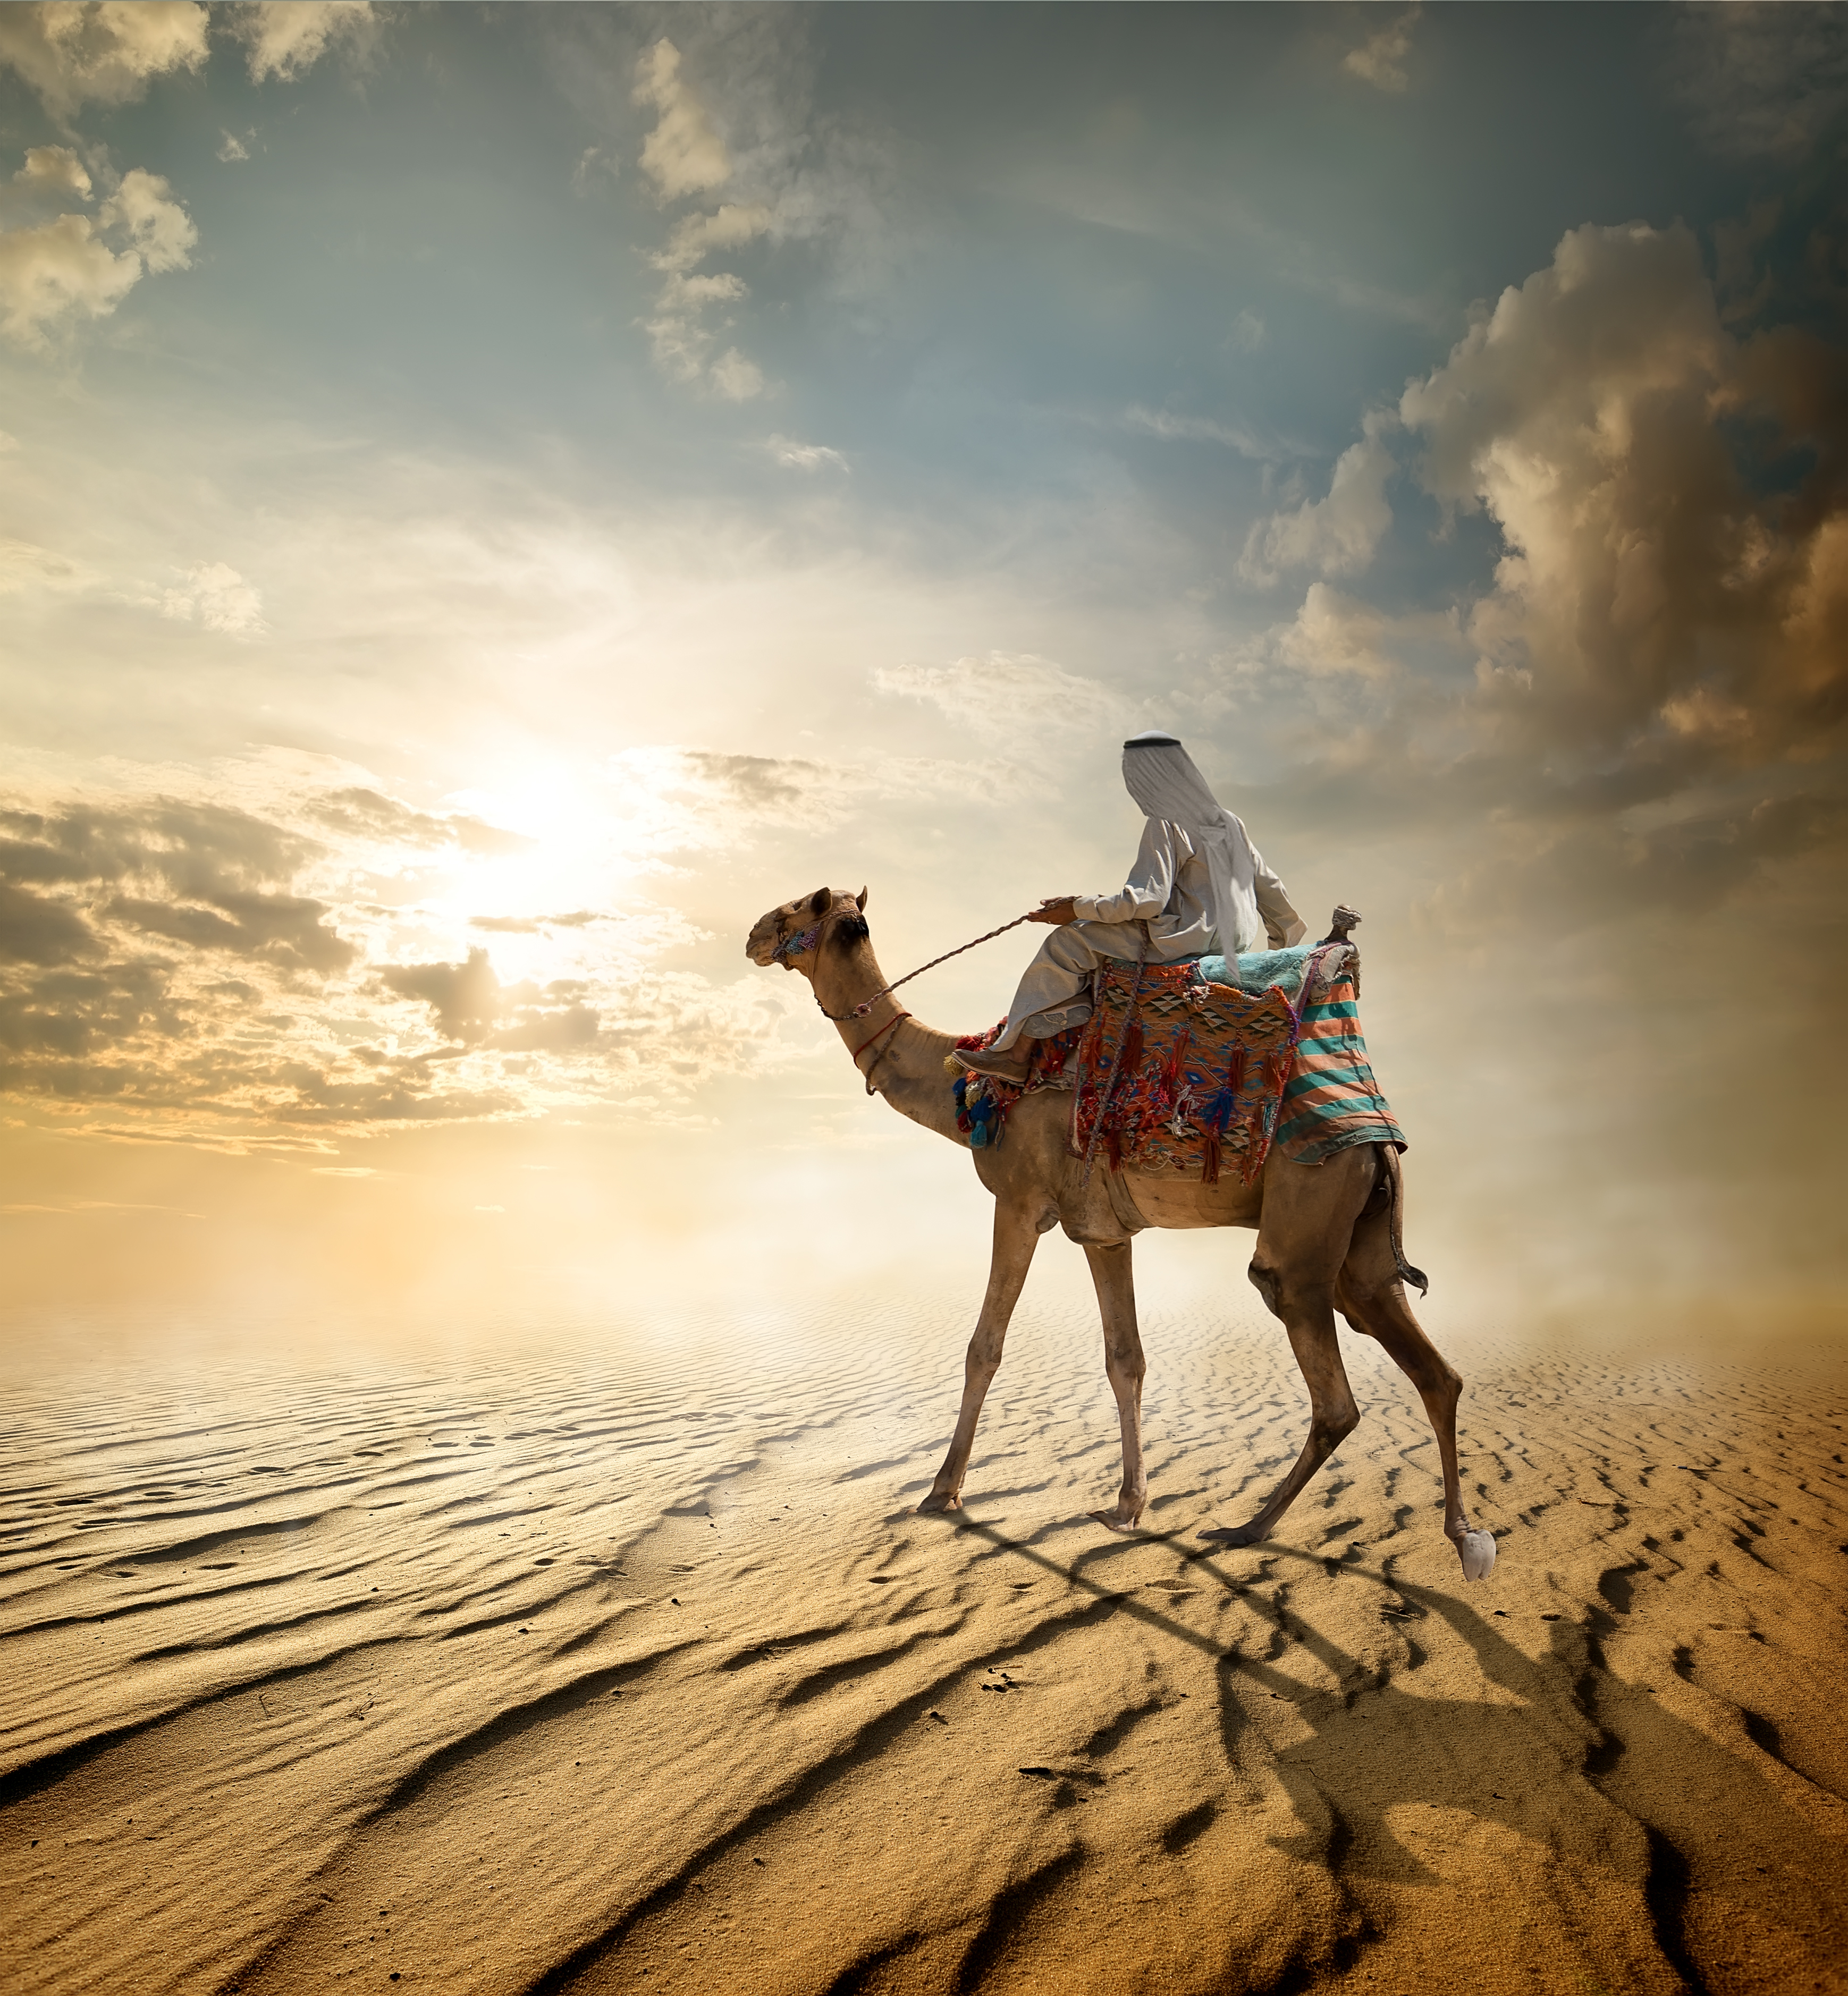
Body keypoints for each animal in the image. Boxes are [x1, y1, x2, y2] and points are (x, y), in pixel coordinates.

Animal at [746, 890, 1500, 1588]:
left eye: (796, 908)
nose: (753, 934)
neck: (962, 1082)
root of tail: (1380, 1135)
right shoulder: (1104, 1231)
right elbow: (1126, 1360)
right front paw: (1128, 1506)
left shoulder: (1019, 1202)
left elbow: (984, 1348)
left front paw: (943, 1491)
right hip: (1361, 1246)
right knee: (1435, 1372)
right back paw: (1465, 1538)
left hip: (1307, 1221)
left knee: (1331, 1388)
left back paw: (1249, 1528)